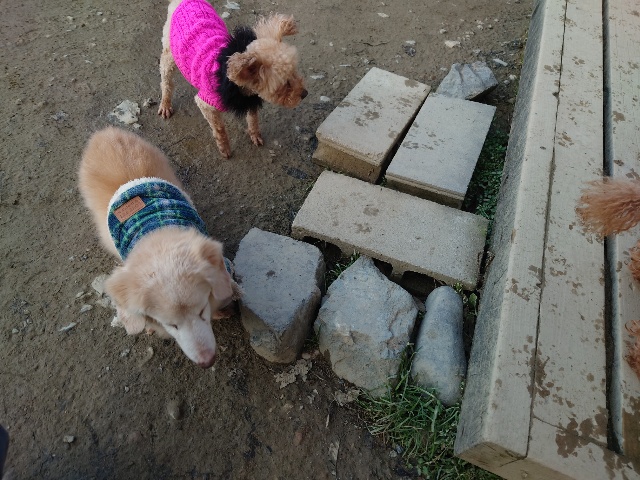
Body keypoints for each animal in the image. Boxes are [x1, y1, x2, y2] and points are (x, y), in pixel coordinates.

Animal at [158, 0, 308, 158]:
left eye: (295, 72)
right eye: (285, 84)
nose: (305, 94)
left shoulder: (251, 100)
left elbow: (253, 119)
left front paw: (255, 135)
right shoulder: (206, 103)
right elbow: (219, 129)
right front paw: (225, 148)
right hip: (169, 54)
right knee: (166, 80)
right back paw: (165, 104)